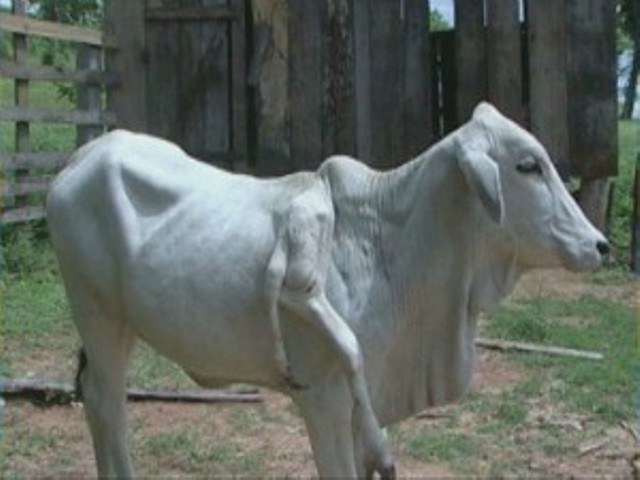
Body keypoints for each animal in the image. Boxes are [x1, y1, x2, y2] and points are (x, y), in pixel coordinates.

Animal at [47, 102, 609, 478]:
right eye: (528, 165)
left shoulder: (368, 400)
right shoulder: (325, 398)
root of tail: (85, 155)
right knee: (106, 403)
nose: (600, 245)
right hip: (97, 315)